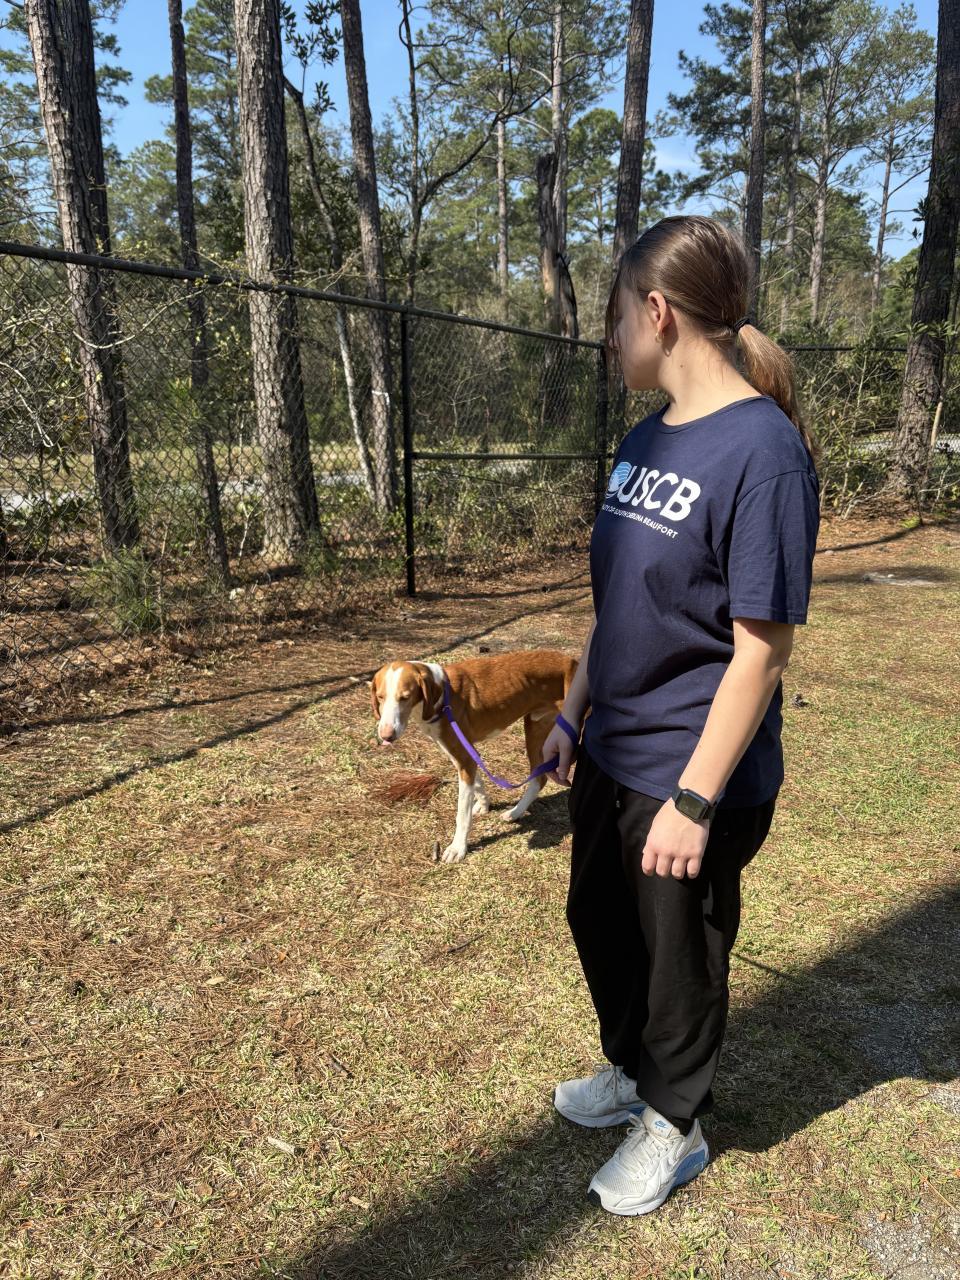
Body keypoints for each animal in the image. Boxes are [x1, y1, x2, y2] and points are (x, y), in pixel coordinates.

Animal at [370, 649, 578, 863]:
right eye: (380, 697)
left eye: (405, 697)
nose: (386, 736)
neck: (443, 697)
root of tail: (573, 661)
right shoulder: (465, 755)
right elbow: (478, 784)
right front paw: (484, 805)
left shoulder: (464, 758)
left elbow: (462, 814)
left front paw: (458, 848)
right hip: (535, 729)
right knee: (539, 778)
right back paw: (515, 812)